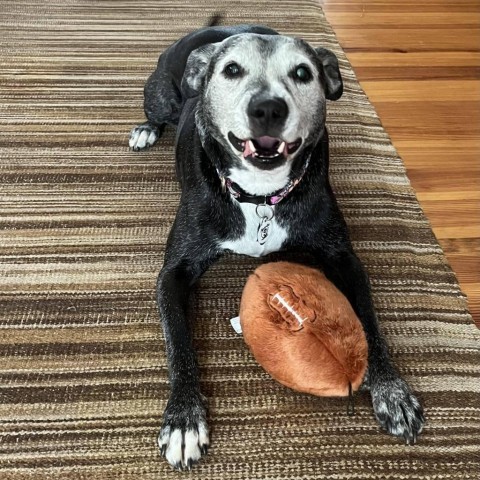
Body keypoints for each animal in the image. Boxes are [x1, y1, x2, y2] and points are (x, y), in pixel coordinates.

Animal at [129, 17, 426, 468]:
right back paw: (145, 130)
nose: (267, 108)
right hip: (161, 94)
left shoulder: (344, 259)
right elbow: (178, 343)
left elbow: (370, 324)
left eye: (303, 72)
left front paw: (392, 392)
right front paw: (182, 419)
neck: (260, 195)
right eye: (231, 69)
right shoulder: (173, 275)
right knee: (157, 112)